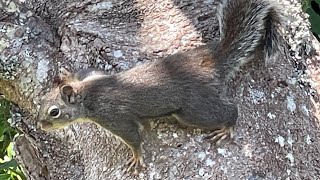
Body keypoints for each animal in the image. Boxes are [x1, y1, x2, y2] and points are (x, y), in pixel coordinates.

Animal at [37, 0, 282, 175]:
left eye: (54, 112)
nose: (41, 126)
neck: (88, 95)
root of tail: (212, 61)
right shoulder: (93, 76)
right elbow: (87, 71)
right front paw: (68, 74)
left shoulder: (114, 117)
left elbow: (133, 137)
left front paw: (136, 157)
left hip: (194, 108)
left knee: (228, 111)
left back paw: (227, 127)